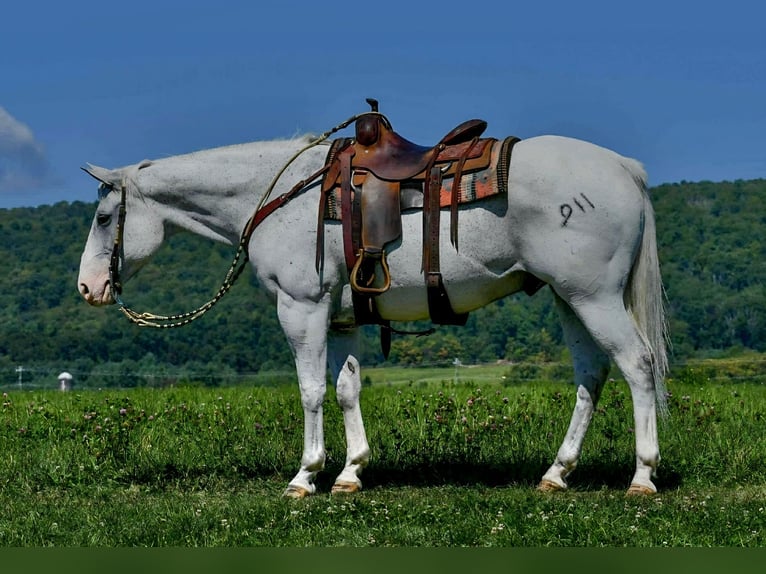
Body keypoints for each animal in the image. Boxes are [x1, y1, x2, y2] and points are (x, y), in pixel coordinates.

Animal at [77, 122, 669, 498]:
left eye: (105, 217)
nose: (88, 287)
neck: (279, 197)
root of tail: (622, 168)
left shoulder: (302, 308)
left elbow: (311, 390)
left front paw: (305, 476)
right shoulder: (340, 315)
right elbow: (346, 388)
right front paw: (350, 473)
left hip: (594, 297)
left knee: (637, 366)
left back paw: (641, 476)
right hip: (570, 298)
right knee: (591, 375)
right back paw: (556, 472)